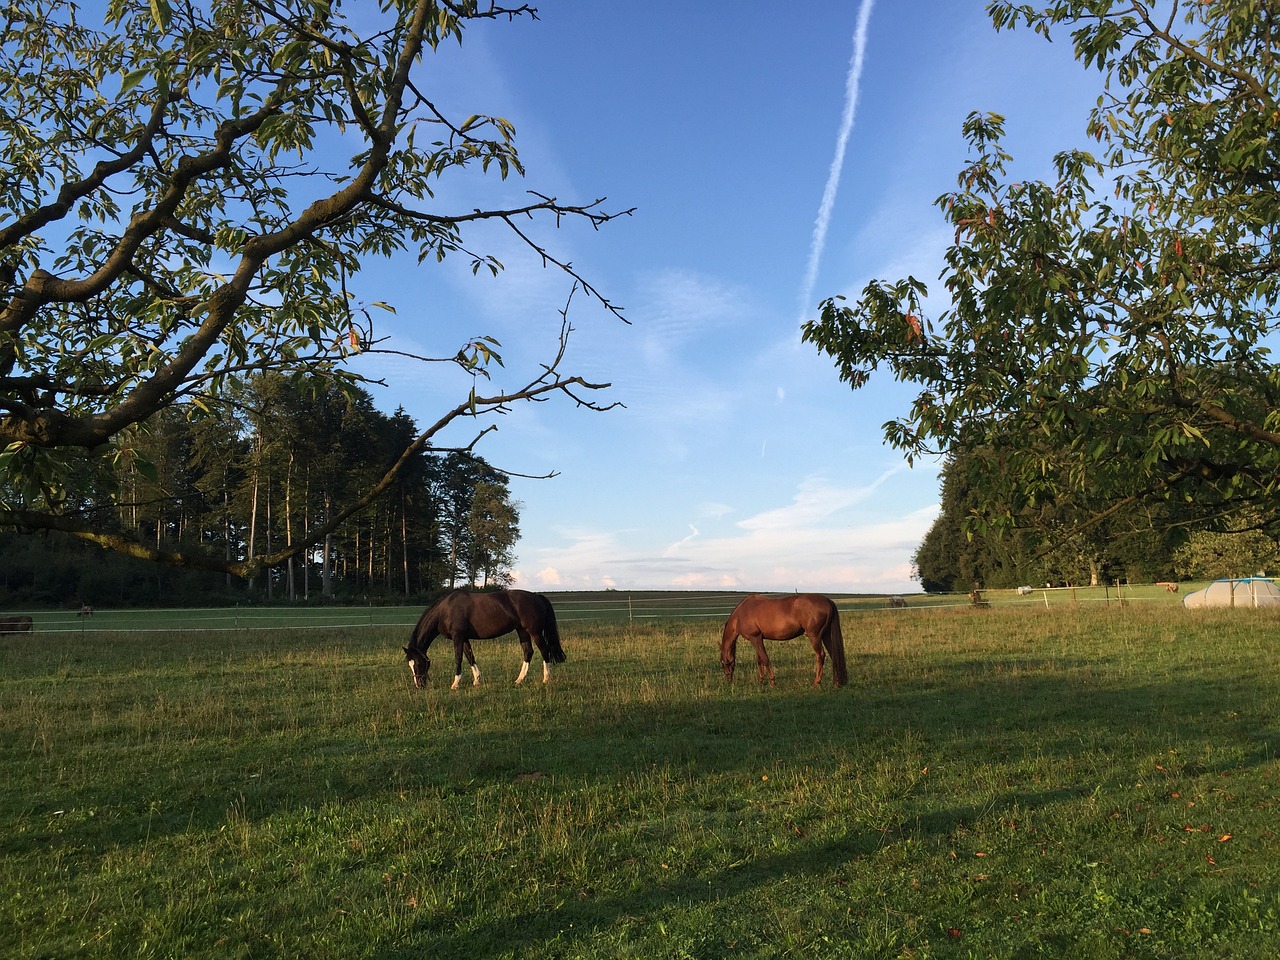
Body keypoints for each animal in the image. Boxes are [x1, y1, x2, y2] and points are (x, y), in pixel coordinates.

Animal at [404, 586, 565, 691]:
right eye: (409, 665)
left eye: (418, 663)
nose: (419, 685)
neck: (445, 610)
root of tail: (537, 596)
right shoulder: (464, 638)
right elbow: (470, 656)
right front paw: (477, 680)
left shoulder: (458, 637)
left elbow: (458, 658)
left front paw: (455, 684)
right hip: (522, 631)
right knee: (528, 652)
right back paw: (519, 680)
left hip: (534, 632)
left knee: (544, 650)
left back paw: (546, 678)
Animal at [721, 593, 849, 691]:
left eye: (723, 664)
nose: (728, 680)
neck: (741, 613)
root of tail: (827, 600)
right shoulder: (758, 639)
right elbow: (760, 660)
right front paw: (761, 681)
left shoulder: (755, 638)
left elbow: (765, 659)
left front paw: (772, 682)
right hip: (826, 636)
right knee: (834, 655)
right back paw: (837, 683)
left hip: (815, 637)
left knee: (821, 656)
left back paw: (816, 683)